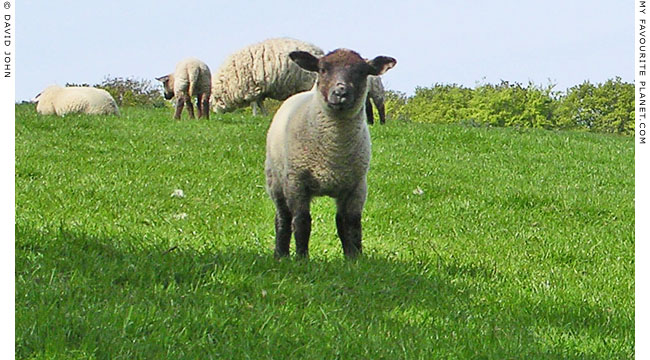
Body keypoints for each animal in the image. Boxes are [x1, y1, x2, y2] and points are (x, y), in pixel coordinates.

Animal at [264, 47, 394, 258]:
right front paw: (302, 258)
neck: (333, 151)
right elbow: (301, 222)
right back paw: (280, 255)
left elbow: (351, 224)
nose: (341, 92)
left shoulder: (356, 186)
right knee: (283, 219)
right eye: (323, 69)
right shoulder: (297, 183)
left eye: (362, 71)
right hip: (276, 181)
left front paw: (355, 257)